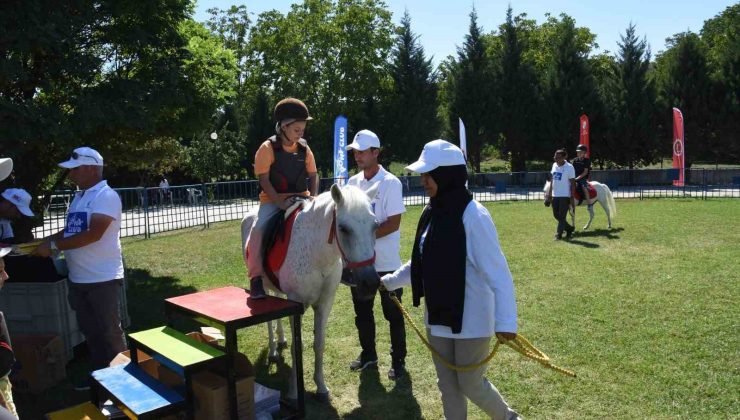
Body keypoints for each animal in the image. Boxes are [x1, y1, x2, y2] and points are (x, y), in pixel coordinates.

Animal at [240, 183, 380, 402]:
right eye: (343, 228)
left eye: (375, 226)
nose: (370, 282)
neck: (318, 255)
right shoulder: (296, 303)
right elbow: (297, 347)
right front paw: (293, 392)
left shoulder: (324, 303)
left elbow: (319, 344)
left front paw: (321, 387)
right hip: (260, 282)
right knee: (269, 320)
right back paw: (273, 349)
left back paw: (281, 339)